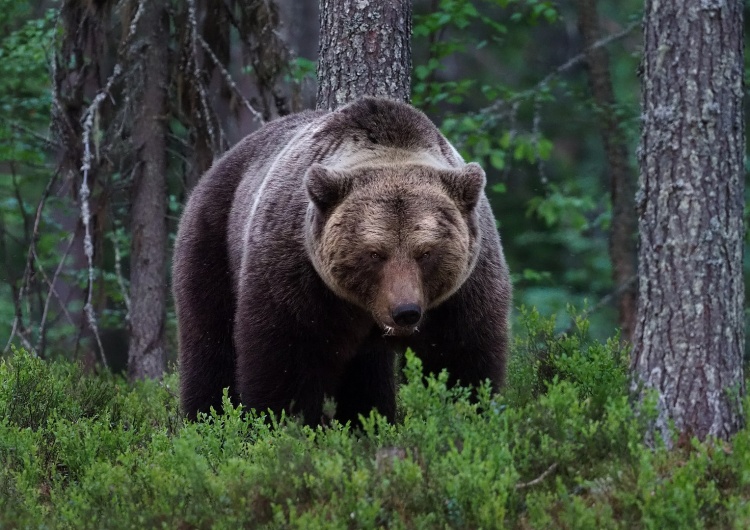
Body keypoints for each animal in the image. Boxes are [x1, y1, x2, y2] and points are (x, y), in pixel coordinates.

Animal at [172, 96, 512, 424]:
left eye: (426, 252)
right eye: (375, 253)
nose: (405, 312)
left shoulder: (463, 289)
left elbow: (463, 357)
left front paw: (467, 410)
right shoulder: (299, 276)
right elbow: (285, 359)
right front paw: (280, 422)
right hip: (213, 237)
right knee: (210, 341)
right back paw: (205, 417)